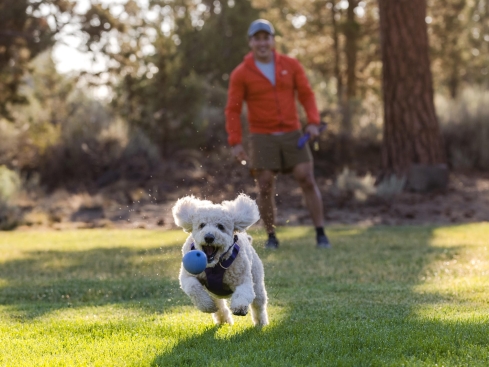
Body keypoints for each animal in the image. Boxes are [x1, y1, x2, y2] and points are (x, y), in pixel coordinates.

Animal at [172, 194, 268, 326]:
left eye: (220, 226)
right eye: (202, 225)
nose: (209, 237)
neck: (214, 265)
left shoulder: (243, 279)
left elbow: (244, 292)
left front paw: (239, 307)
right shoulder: (187, 276)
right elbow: (193, 287)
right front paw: (207, 306)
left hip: (257, 280)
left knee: (258, 303)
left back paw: (260, 323)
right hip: (214, 293)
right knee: (219, 306)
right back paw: (223, 320)